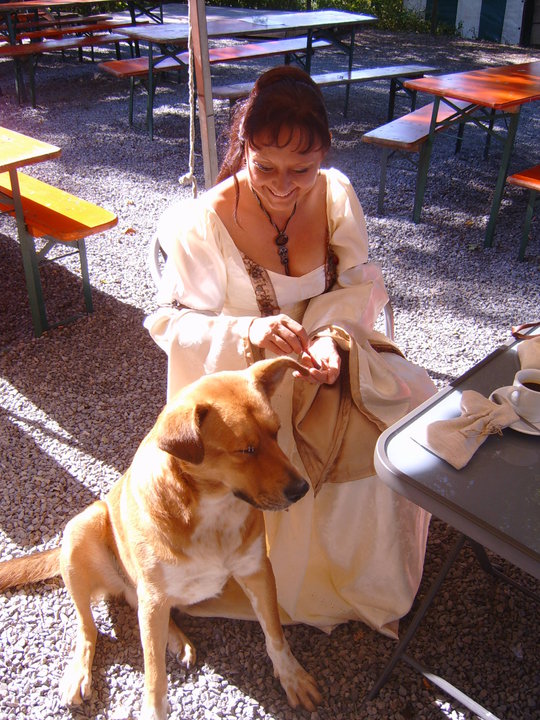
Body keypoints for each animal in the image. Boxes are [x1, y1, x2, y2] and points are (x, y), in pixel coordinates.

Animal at [0, 358, 320, 720]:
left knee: (133, 603)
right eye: (246, 449)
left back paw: (177, 639)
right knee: (88, 628)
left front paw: (292, 677)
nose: (301, 489)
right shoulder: (155, 597)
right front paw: (153, 709)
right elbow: (154, 674)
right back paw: (79, 672)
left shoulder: (257, 571)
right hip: (81, 530)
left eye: (277, 432)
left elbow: (275, 634)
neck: (212, 509)